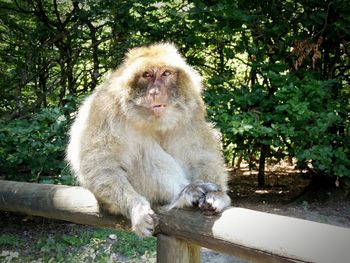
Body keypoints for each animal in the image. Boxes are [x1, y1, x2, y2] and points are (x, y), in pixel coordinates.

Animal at [66, 43, 231, 237]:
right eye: (147, 75)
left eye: (165, 73)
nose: (155, 92)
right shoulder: (105, 108)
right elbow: (100, 164)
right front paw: (136, 208)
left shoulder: (192, 109)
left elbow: (201, 155)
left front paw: (219, 195)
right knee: (143, 151)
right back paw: (183, 195)